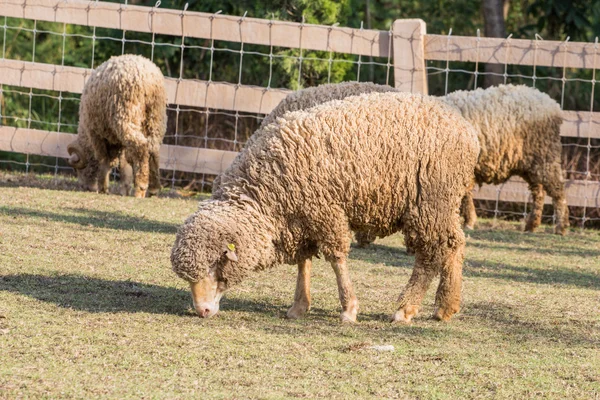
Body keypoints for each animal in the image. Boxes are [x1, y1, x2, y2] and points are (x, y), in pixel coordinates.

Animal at [67, 54, 168, 198]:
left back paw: (140, 188)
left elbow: (105, 160)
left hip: (126, 115)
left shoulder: (96, 134)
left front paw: (103, 187)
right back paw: (153, 189)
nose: (84, 187)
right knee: (153, 149)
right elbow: (124, 164)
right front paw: (124, 189)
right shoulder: (116, 140)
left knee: (141, 146)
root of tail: (149, 78)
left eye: (78, 169)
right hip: (156, 117)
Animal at [171, 92, 480, 324]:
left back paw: (405, 309)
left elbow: (336, 259)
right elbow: (303, 261)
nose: (202, 311)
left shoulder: (324, 210)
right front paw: (299, 306)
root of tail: (466, 129)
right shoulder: (300, 216)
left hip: (429, 200)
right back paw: (445, 307)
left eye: (215, 264)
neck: (265, 192)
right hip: (443, 203)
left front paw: (348, 309)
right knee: (455, 244)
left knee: (430, 253)